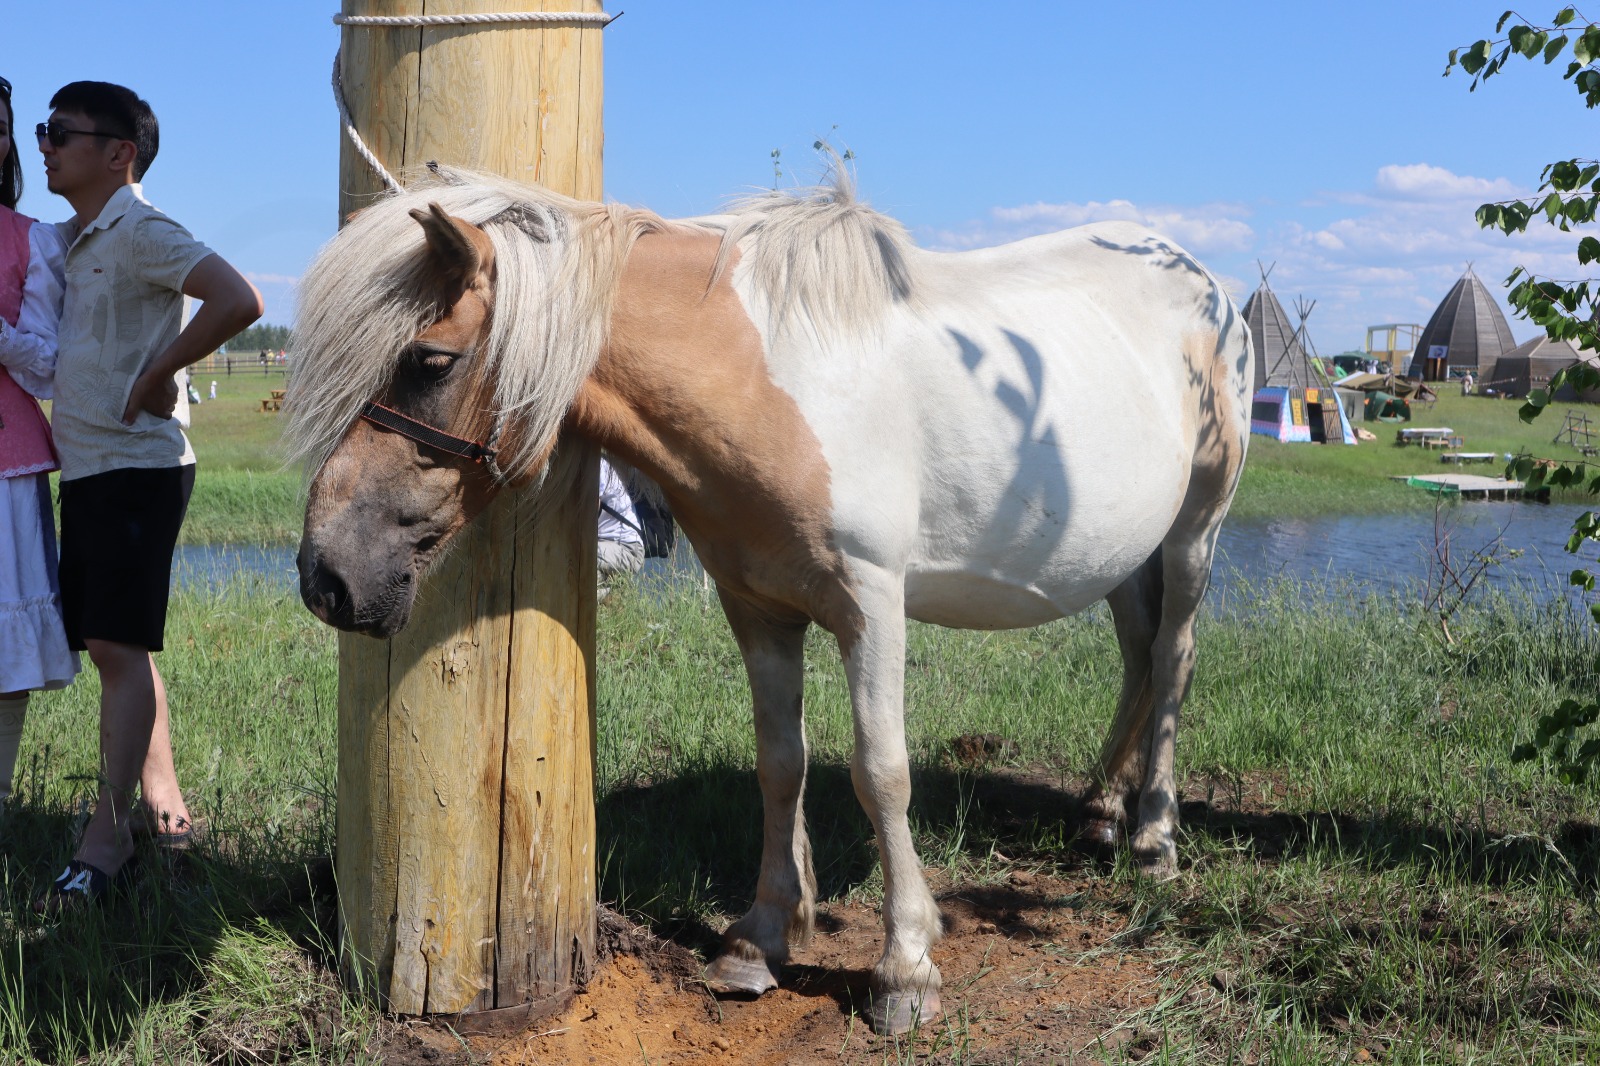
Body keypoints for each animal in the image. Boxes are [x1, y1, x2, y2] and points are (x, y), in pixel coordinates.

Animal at [294, 164, 1254, 1030]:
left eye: (430, 361)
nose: (326, 575)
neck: (770, 384)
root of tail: (1202, 278)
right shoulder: (757, 608)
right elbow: (779, 762)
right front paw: (760, 939)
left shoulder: (872, 607)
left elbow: (881, 773)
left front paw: (905, 968)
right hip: (1121, 551)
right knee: (1137, 654)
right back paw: (1099, 812)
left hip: (1195, 527)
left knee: (1173, 658)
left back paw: (1153, 838)